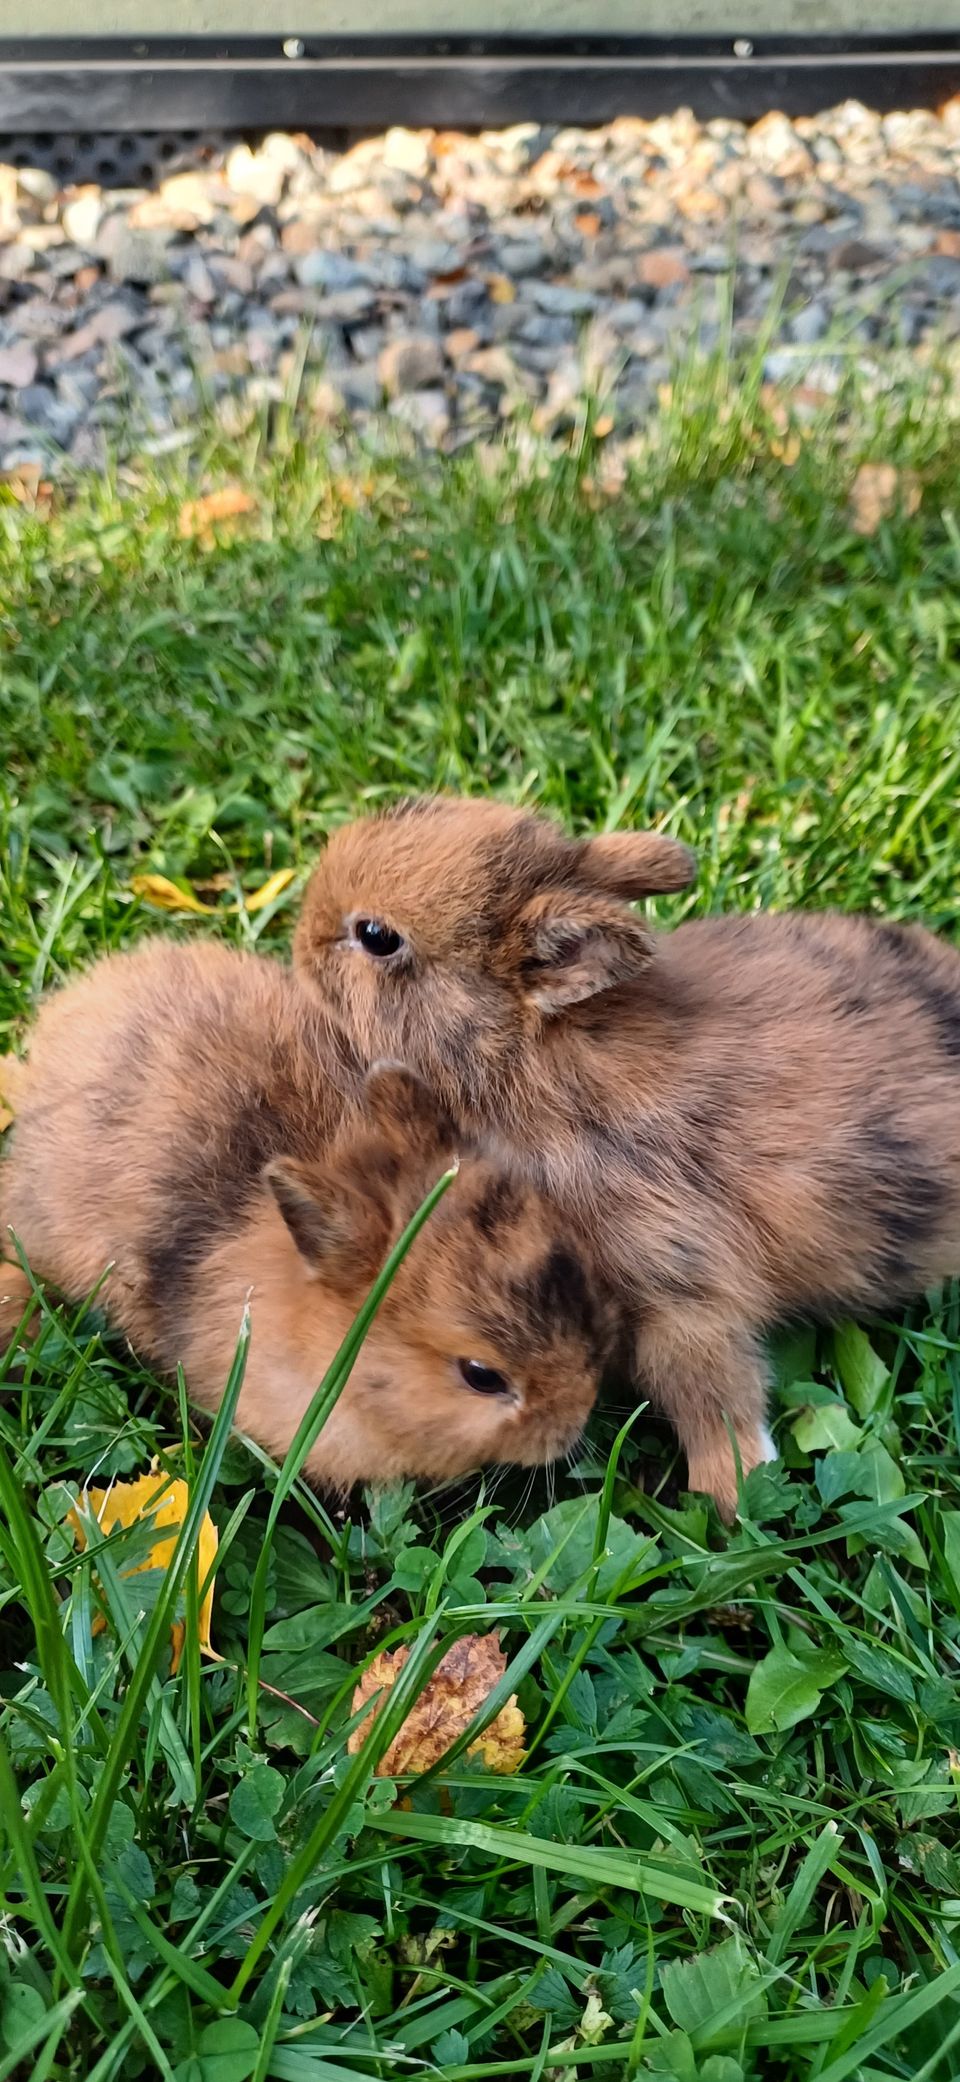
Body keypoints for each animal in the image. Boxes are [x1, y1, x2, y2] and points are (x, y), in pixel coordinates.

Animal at [293, 795, 960, 1515]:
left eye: (377, 936)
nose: (302, 935)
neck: (531, 1052)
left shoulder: (676, 1279)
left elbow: (709, 1388)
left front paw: (731, 1494)